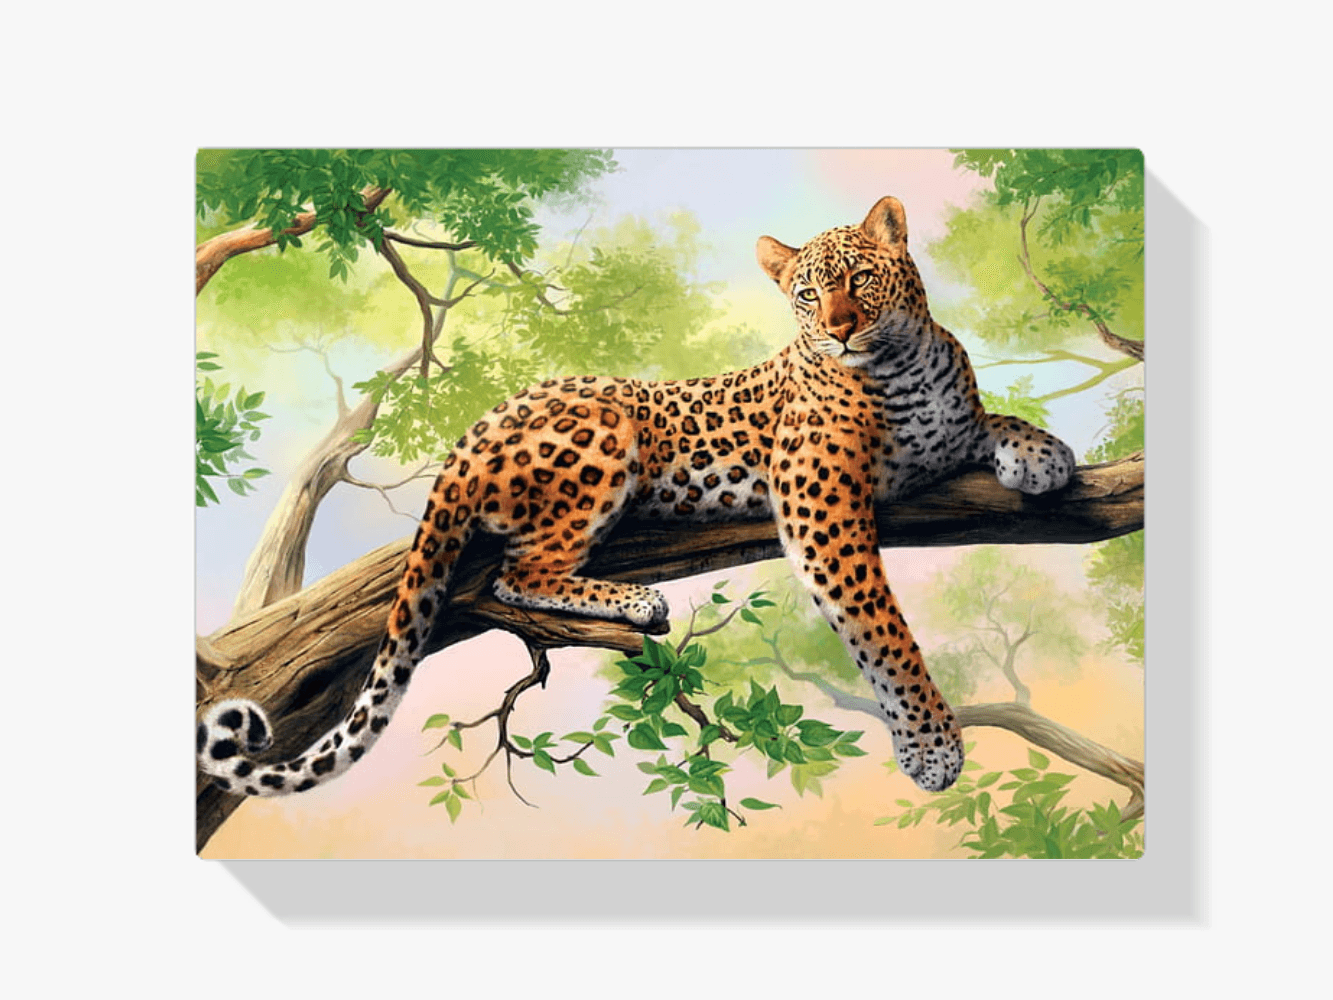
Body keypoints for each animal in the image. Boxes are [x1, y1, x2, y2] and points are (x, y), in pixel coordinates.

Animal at [198, 196, 1076, 800]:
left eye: (859, 276)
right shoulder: (820, 506)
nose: (839, 329)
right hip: (605, 431)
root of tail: (473, 430)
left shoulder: (941, 435)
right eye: (804, 294)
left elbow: (987, 420)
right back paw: (635, 602)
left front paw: (1043, 453)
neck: (901, 363)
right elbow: (882, 629)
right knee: (519, 571)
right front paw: (930, 745)